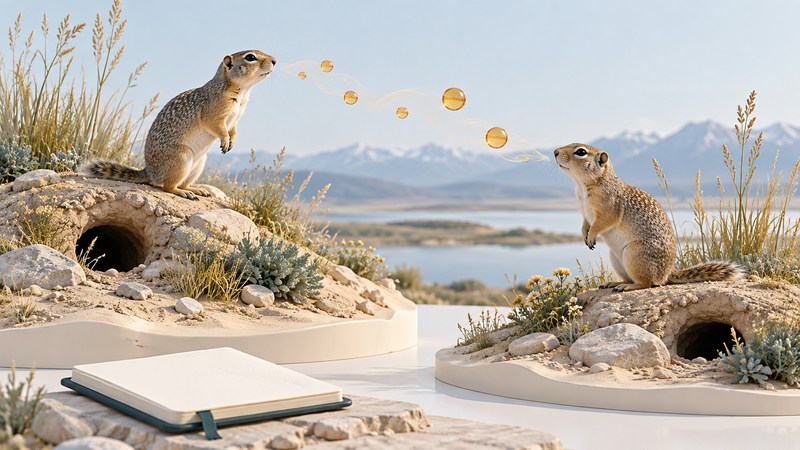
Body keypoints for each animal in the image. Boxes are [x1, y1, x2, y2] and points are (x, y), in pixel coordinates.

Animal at [83, 50, 276, 200]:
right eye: (250, 57)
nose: (275, 60)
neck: (242, 92)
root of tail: (149, 171)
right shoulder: (215, 113)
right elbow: (218, 127)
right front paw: (224, 140)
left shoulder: (235, 118)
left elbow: (233, 130)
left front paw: (231, 141)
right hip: (182, 159)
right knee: (167, 186)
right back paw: (183, 192)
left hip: (198, 164)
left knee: (182, 184)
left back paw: (196, 189)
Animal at [554, 143, 742, 291]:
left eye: (581, 152)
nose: (555, 152)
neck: (582, 185)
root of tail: (667, 273)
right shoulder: (584, 212)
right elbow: (586, 223)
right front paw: (584, 234)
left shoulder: (608, 208)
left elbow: (601, 223)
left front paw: (592, 235)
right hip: (616, 259)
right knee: (631, 278)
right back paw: (614, 283)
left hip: (634, 255)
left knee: (647, 283)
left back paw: (627, 286)